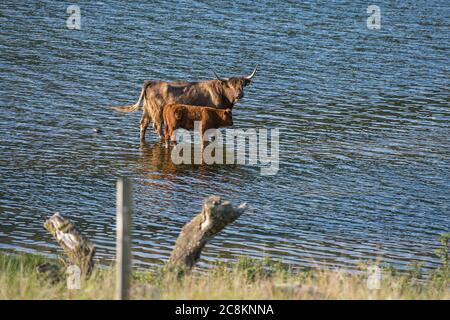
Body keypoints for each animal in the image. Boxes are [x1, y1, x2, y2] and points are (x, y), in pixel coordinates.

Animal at [110, 66, 255, 141]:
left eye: (242, 84)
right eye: (230, 85)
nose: (239, 94)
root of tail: (151, 81)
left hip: (147, 109)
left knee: (143, 124)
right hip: (157, 111)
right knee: (157, 126)